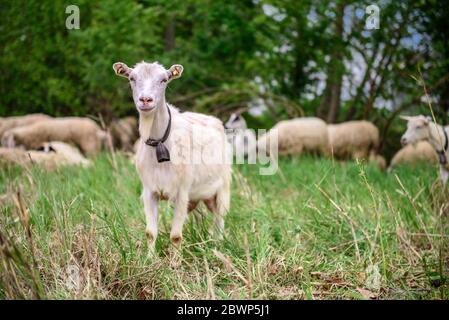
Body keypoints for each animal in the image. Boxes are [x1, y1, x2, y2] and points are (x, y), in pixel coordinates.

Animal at [112, 60, 231, 256]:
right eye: (132, 78)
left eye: (164, 80)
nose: (146, 100)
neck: (159, 143)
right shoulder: (149, 191)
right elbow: (150, 232)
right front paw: (150, 259)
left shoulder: (182, 191)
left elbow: (175, 236)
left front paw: (174, 262)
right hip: (197, 195)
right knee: (200, 216)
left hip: (222, 187)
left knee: (219, 217)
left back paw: (218, 245)